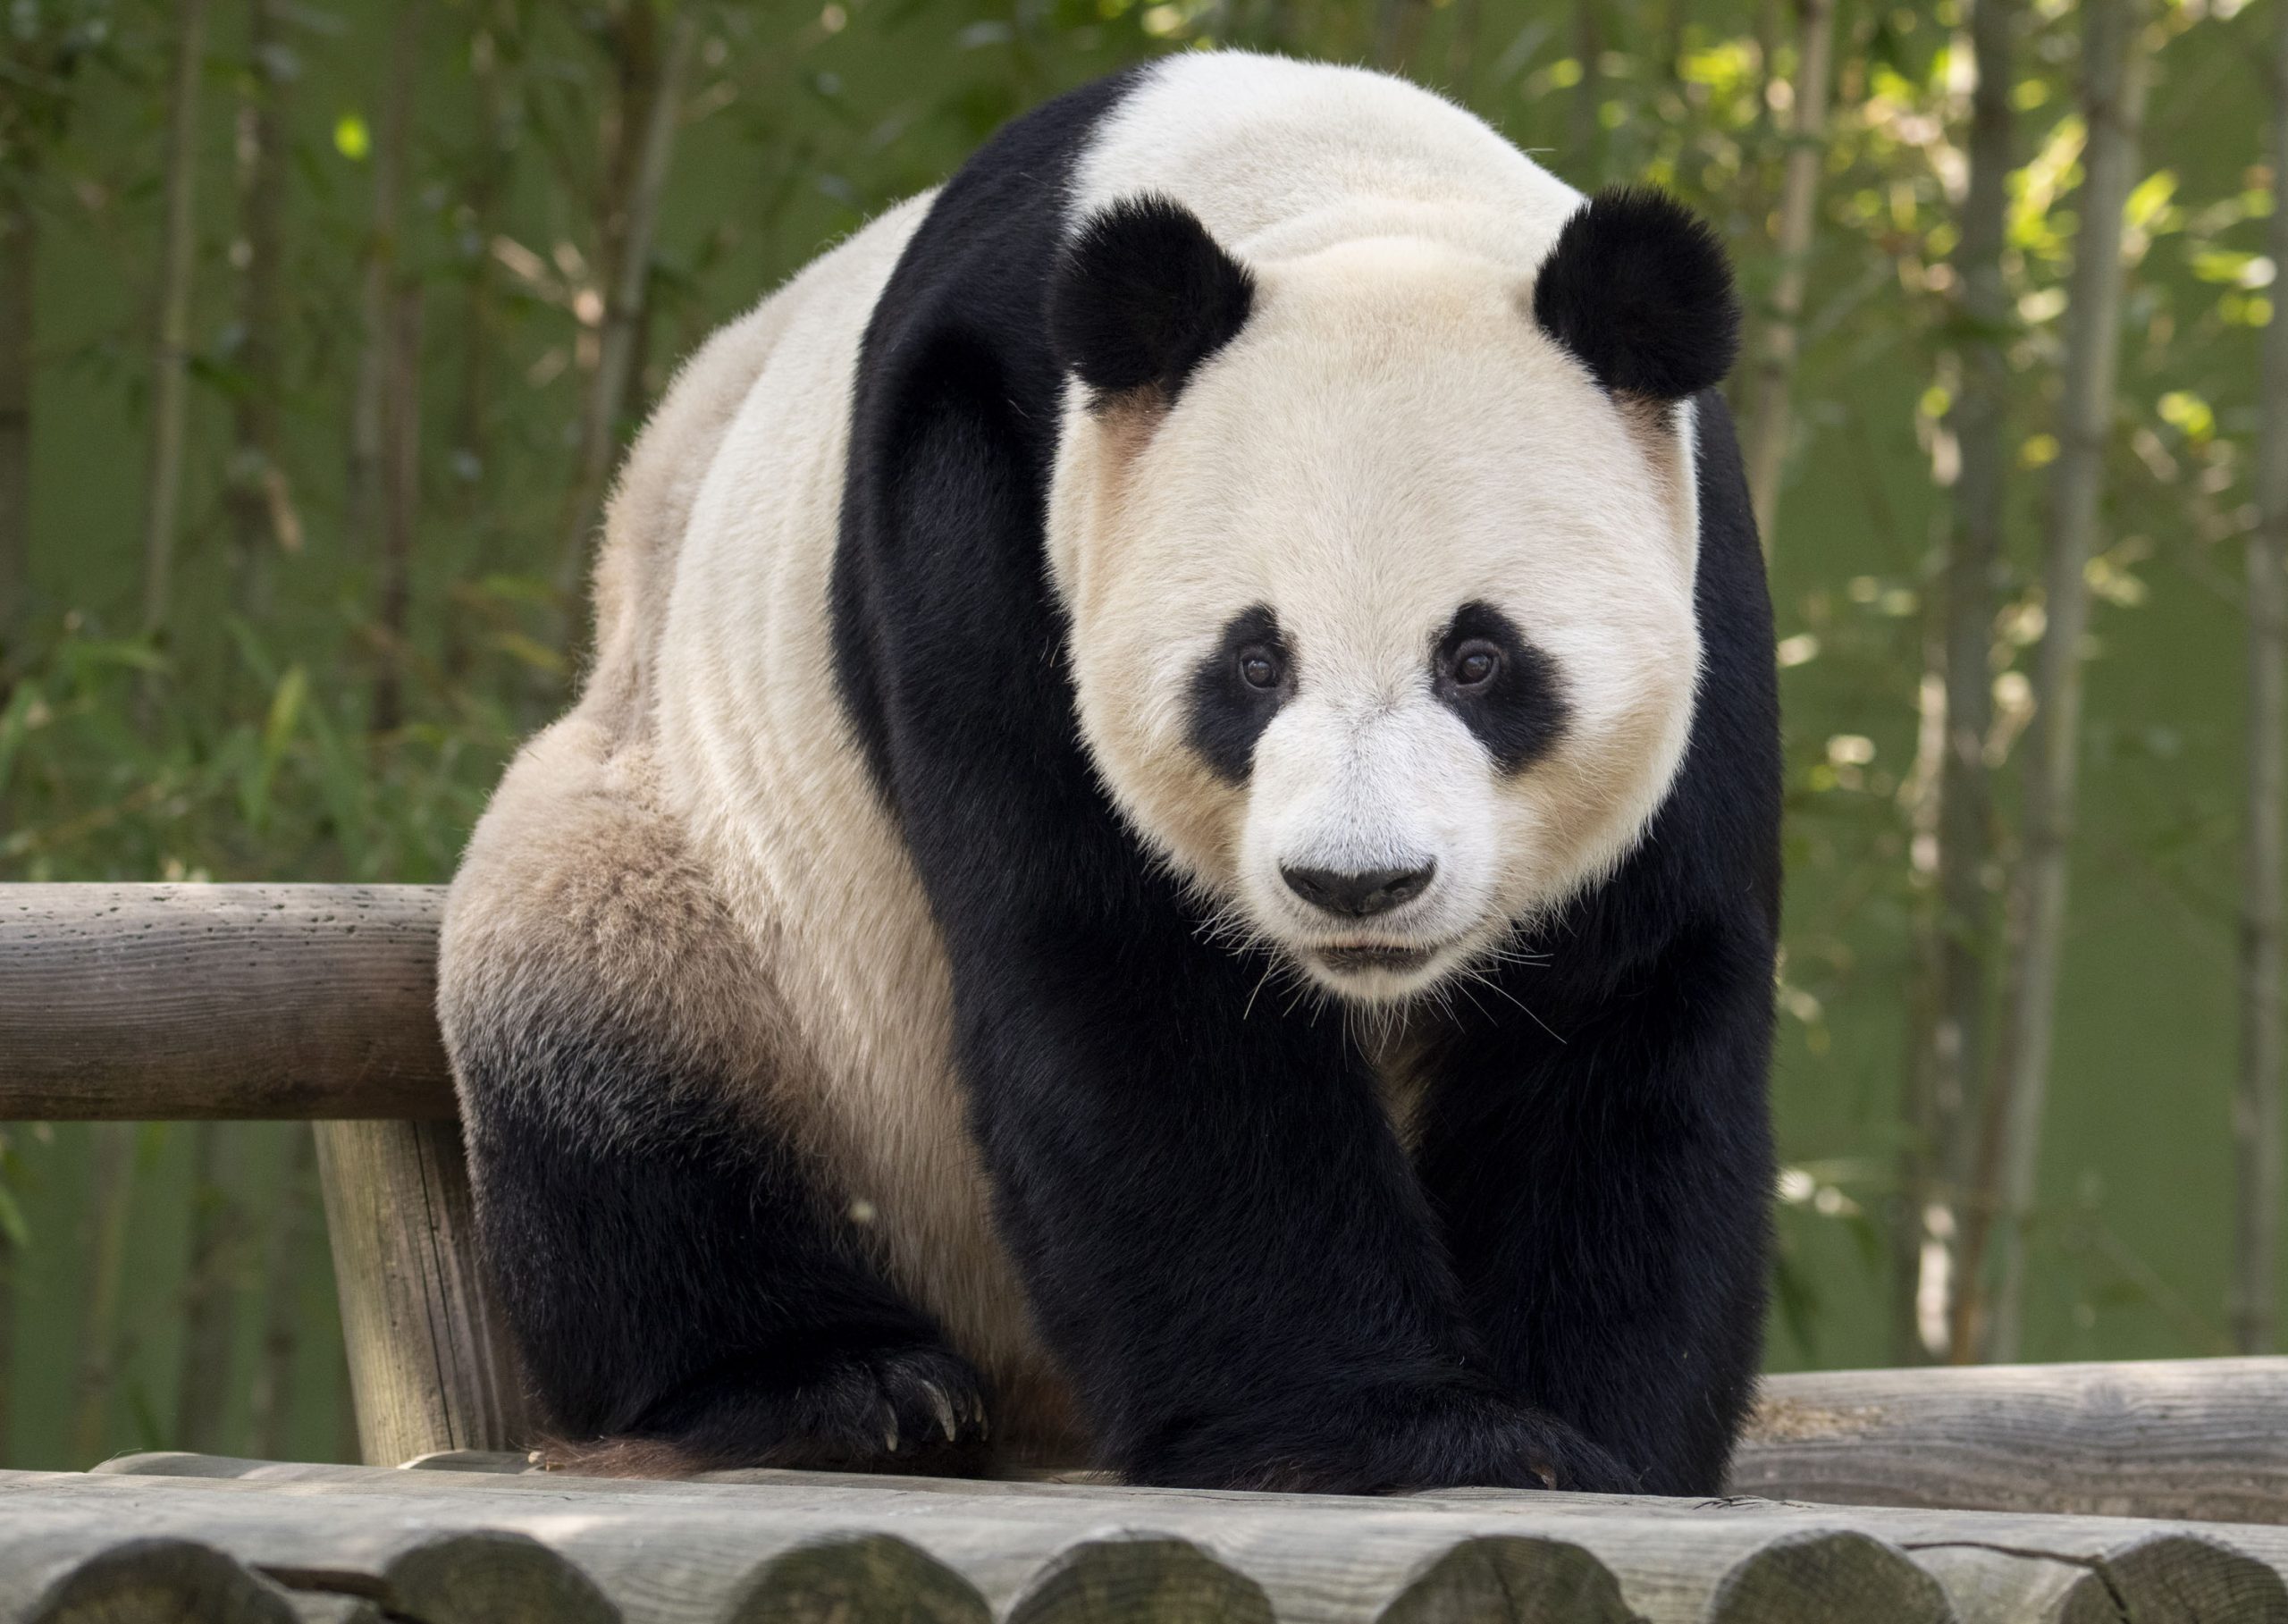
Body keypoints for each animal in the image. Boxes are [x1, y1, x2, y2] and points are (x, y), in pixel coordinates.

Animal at [432, 50, 1784, 1500]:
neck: (1340, 191)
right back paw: (840, 1384)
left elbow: (1625, 999)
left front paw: (1592, 1436)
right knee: (602, 1047)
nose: (1356, 885)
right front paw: (1398, 1433)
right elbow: (1120, 977)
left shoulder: (1701, 559)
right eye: (1254, 663)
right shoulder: (984, 496)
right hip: (705, 870)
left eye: (1479, 659)